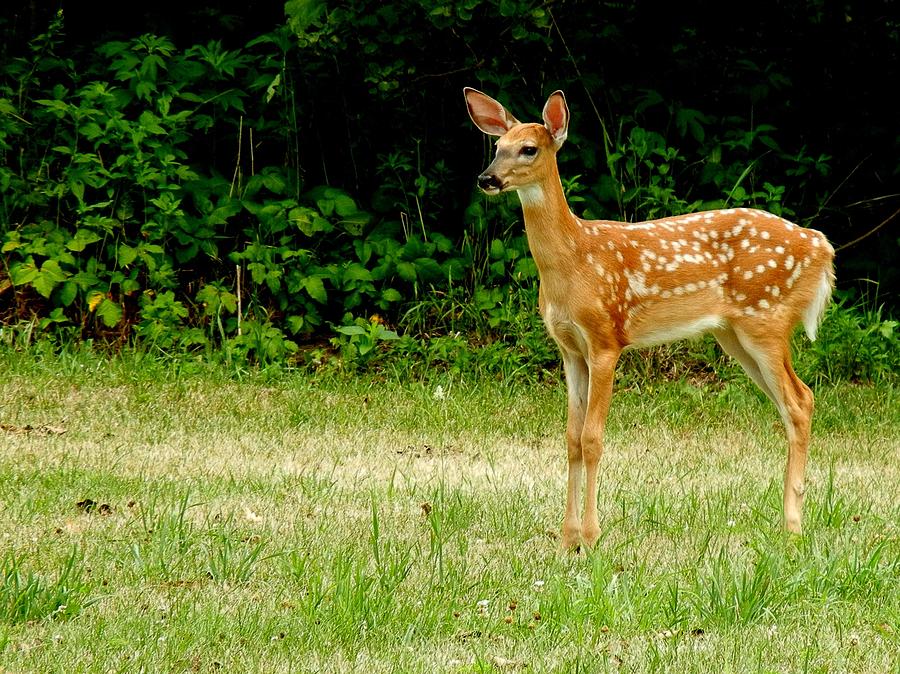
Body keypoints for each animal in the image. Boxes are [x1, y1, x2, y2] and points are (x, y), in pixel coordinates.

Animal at [464, 86, 836, 548]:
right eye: (497, 147)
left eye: (529, 148)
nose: (487, 179)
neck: (573, 262)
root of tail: (822, 247)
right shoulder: (569, 349)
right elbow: (570, 438)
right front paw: (567, 540)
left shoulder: (605, 339)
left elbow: (593, 437)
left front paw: (591, 537)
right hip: (735, 334)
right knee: (795, 402)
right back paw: (788, 523)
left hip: (765, 319)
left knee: (800, 401)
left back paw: (792, 528)